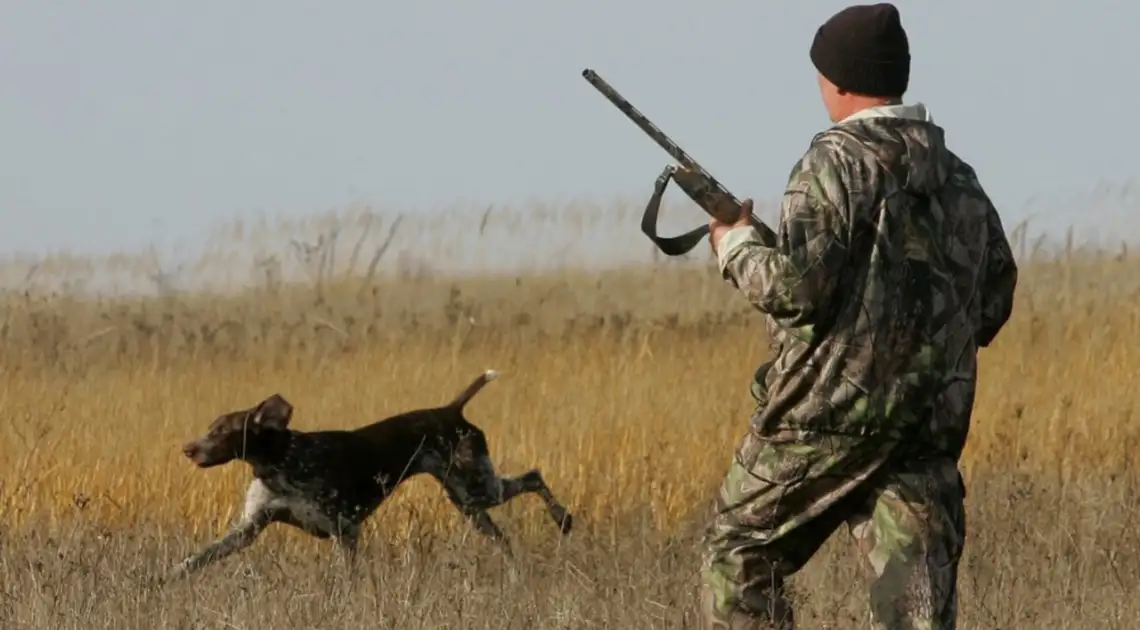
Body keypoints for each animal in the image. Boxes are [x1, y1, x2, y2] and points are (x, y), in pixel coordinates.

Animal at [165, 369, 574, 578]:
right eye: (211, 427)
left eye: (222, 431)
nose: (187, 449)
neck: (279, 463)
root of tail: (451, 410)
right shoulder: (246, 531)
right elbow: (195, 559)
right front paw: (163, 578)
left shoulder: (346, 530)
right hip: (470, 504)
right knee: (504, 535)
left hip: (479, 488)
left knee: (534, 476)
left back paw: (563, 519)